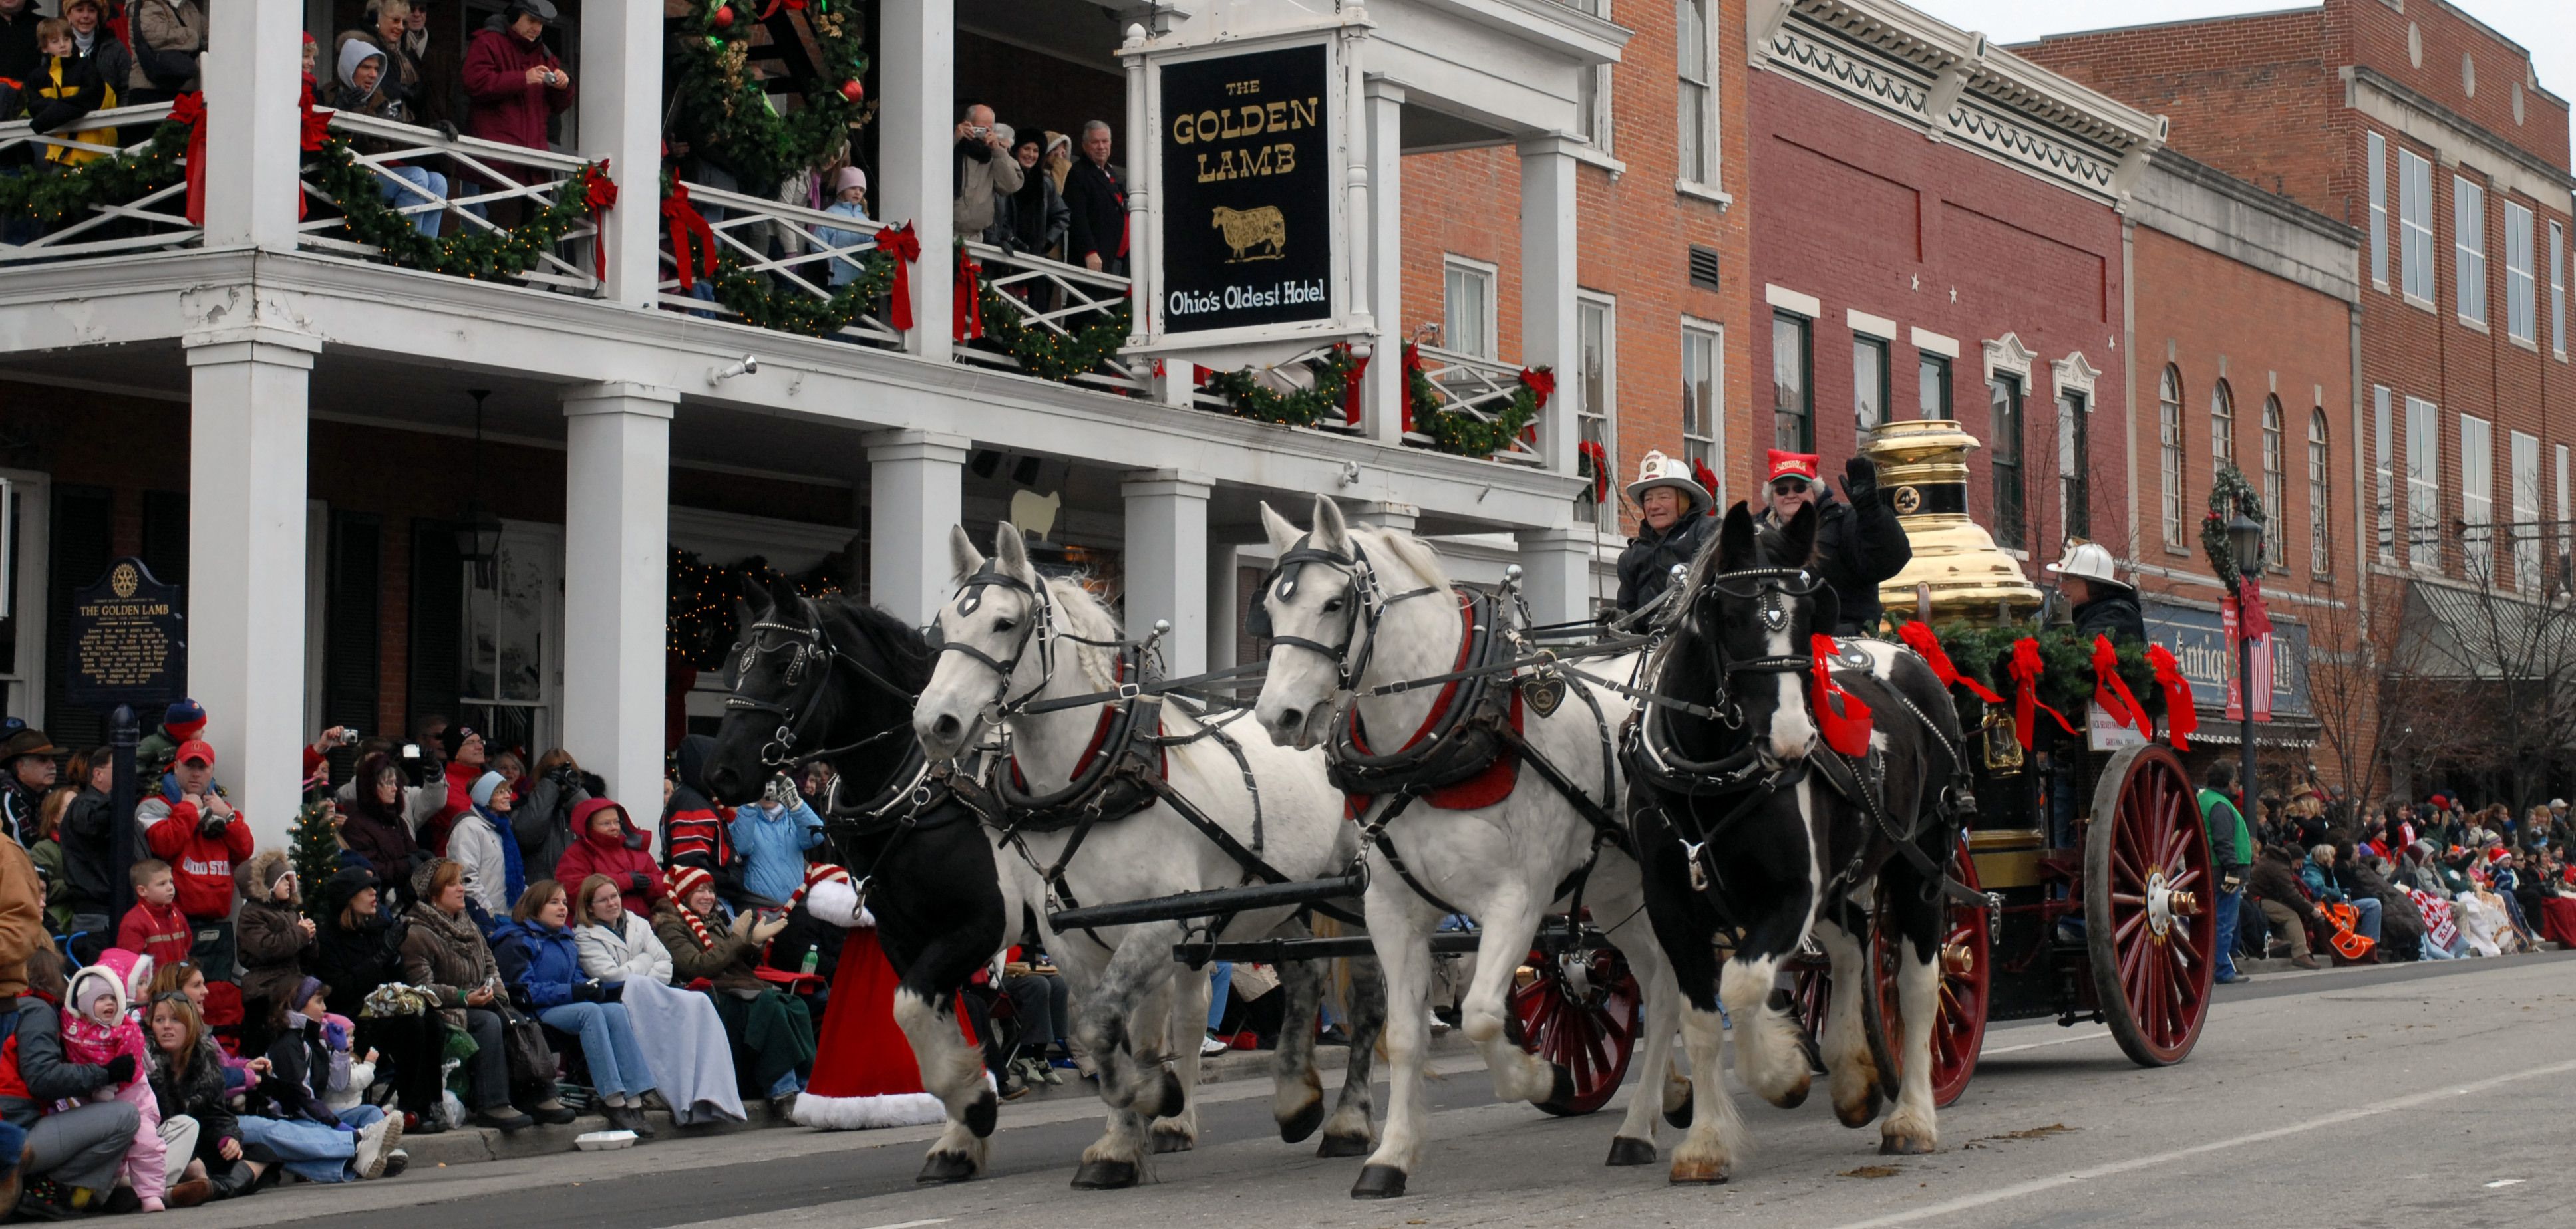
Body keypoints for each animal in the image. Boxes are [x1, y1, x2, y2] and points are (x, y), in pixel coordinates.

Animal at [705, 579, 1015, 1185]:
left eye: (787, 668)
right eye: (737, 662)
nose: (722, 773)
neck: (924, 790)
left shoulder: (981, 924)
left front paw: (974, 1111)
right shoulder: (907, 937)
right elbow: (930, 1019)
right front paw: (963, 1128)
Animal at [917, 523, 1380, 1185]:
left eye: (1004, 623)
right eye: (945, 623)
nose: (936, 722)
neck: (1100, 777)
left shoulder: (1160, 922)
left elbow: (1107, 1025)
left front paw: (1147, 1106)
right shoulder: (1069, 939)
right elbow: (1101, 1026)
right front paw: (1128, 1131)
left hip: (1358, 889)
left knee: (1366, 999)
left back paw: (1348, 1121)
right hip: (1274, 892)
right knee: (1303, 973)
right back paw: (1296, 1099)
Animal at [1251, 494, 1690, 1190]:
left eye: (1332, 603)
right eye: (1271, 606)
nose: (1277, 717)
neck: (1436, 742)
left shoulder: (1518, 898)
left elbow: (1483, 1013)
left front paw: (1542, 1075)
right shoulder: (1393, 910)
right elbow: (1405, 1036)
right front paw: (1390, 1158)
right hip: (1618, 896)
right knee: (1661, 990)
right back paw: (1645, 1120)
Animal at [1628, 497, 1968, 1180]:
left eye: (1811, 616)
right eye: (1730, 616)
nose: (1793, 741)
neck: (1707, 779)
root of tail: (1905, 655)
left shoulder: (1790, 895)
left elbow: (1743, 984)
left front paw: (1779, 1073)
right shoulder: (1671, 902)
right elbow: (1701, 1018)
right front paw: (1706, 1143)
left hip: (1920, 863)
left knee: (1917, 984)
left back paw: (1913, 1117)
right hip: (1844, 876)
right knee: (1853, 940)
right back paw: (1853, 1076)